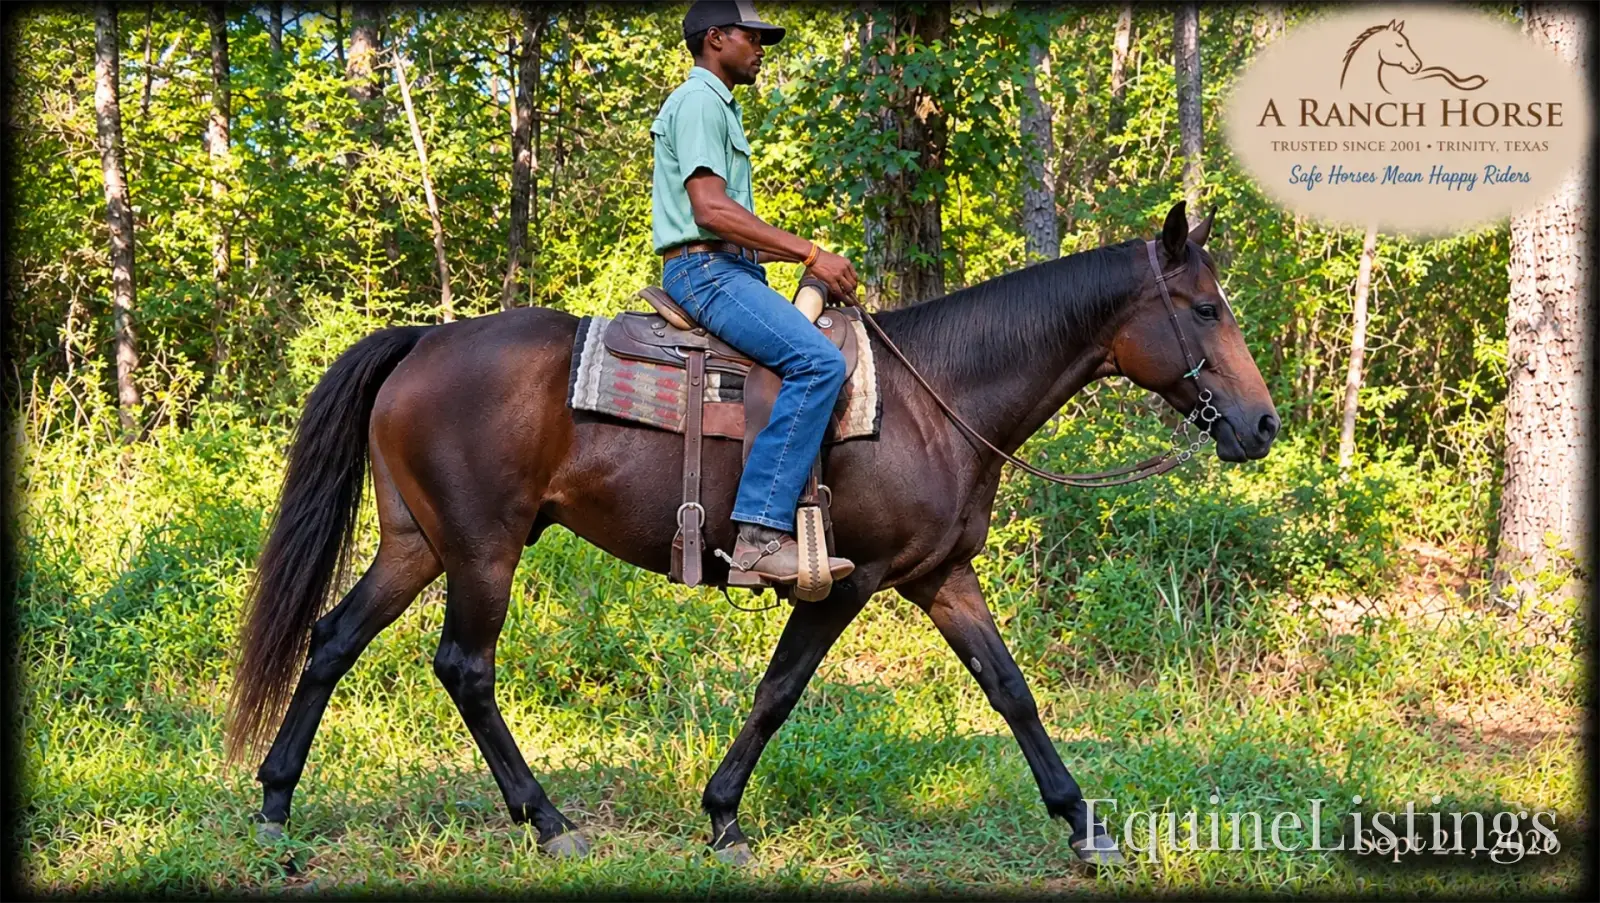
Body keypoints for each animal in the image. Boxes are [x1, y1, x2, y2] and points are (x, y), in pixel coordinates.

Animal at [225, 200, 1280, 868]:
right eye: (1204, 308)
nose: (1263, 424)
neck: (938, 397)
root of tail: (423, 341)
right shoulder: (850, 579)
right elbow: (780, 690)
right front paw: (724, 816)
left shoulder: (941, 574)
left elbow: (1010, 689)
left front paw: (1083, 825)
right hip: (484, 546)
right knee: (465, 667)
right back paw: (549, 819)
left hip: (417, 543)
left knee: (334, 638)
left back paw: (276, 802)